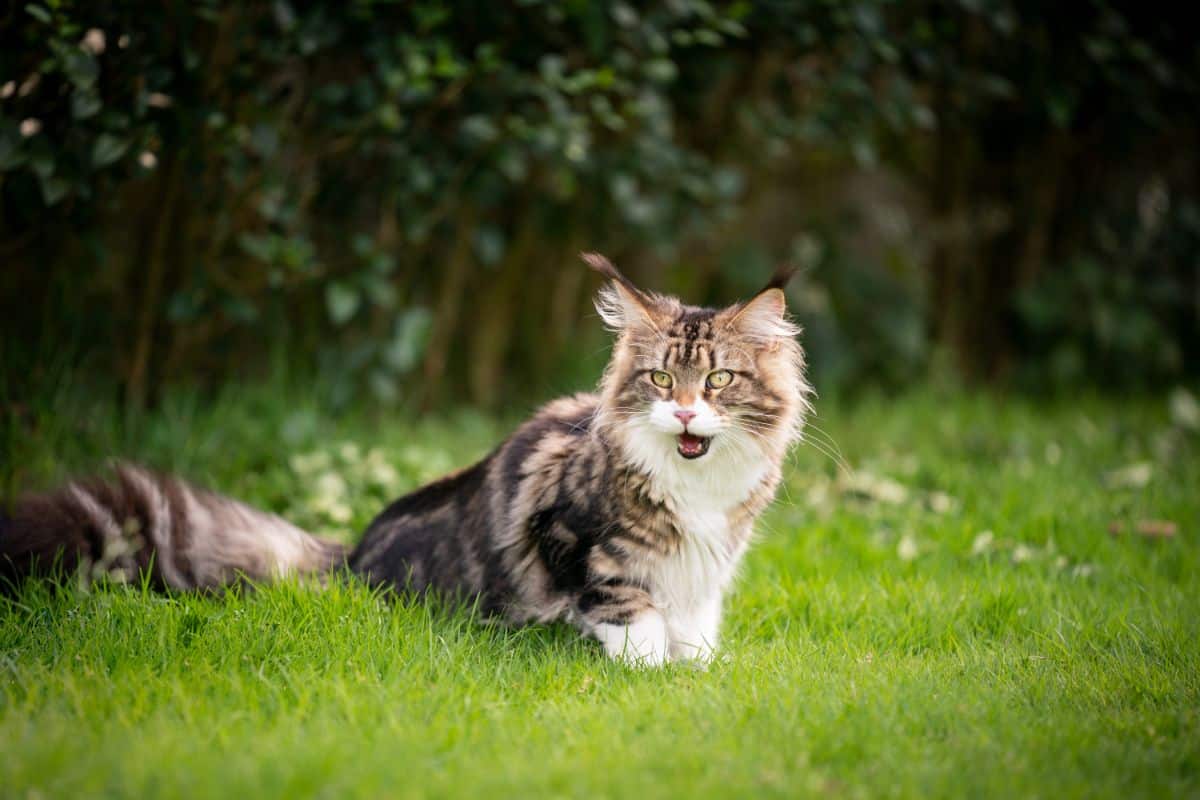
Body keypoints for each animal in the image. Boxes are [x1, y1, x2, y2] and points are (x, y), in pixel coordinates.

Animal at [0, 255, 811, 662]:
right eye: (660, 381)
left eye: (718, 381)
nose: (685, 411)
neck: (695, 487)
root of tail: (349, 557)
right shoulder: (574, 540)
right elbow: (628, 612)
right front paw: (648, 673)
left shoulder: (707, 566)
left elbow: (694, 628)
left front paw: (694, 670)